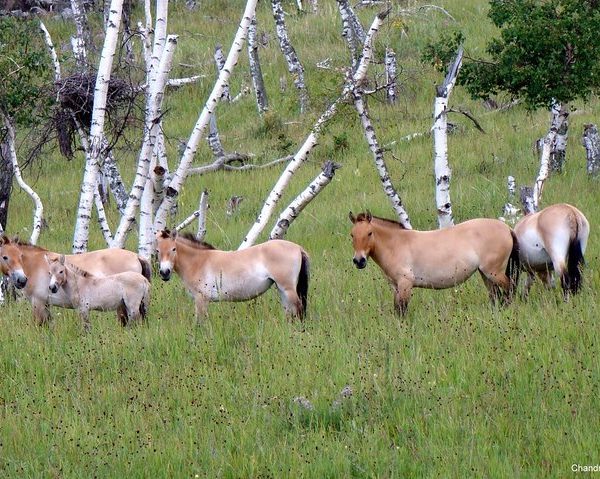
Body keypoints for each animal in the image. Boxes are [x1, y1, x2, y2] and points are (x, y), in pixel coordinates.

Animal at [0, 236, 152, 326]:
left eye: (20, 255)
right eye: (5, 257)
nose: (21, 280)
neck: (35, 265)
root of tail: (137, 256)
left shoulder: (38, 303)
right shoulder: (46, 304)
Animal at [155, 230, 310, 322]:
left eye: (173, 249)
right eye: (157, 250)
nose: (164, 272)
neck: (199, 261)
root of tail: (298, 248)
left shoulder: (201, 299)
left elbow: (200, 322)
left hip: (287, 288)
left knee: (298, 308)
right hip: (282, 289)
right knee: (289, 311)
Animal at [346, 213, 520, 316]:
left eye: (369, 233)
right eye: (352, 235)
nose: (359, 261)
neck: (396, 244)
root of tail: (507, 228)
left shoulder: (405, 284)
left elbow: (402, 310)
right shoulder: (395, 286)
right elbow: (397, 309)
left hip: (493, 272)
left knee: (509, 289)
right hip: (485, 274)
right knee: (495, 295)